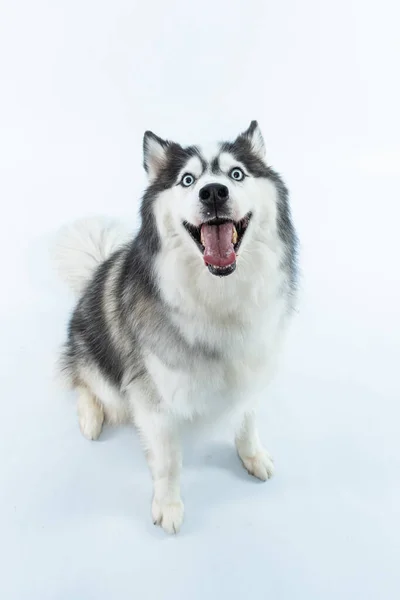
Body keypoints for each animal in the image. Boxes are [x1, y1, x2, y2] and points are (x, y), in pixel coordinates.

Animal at [54, 122, 296, 536]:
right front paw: (167, 507)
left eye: (236, 174)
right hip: (100, 366)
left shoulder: (253, 368)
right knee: (85, 382)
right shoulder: (154, 401)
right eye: (188, 179)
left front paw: (253, 457)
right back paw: (90, 417)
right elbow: (168, 464)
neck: (219, 298)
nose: (213, 192)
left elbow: (247, 422)